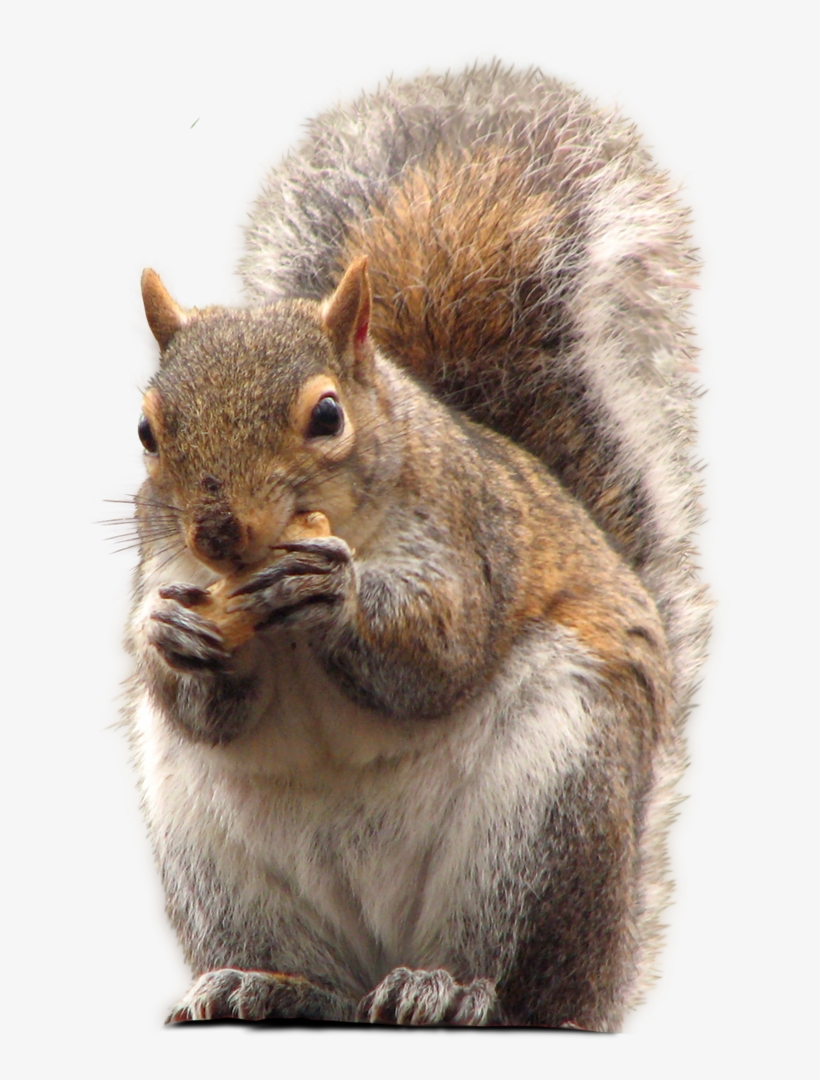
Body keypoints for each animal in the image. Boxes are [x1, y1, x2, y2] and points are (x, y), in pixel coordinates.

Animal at [124, 64, 708, 1031]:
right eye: (145, 431)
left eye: (327, 416)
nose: (216, 532)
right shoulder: (165, 565)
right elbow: (200, 705)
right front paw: (173, 638)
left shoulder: (467, 534)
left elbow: (440, 651)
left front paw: (336, 597)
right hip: (215, 859)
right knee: (319, 982)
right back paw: (263, 985)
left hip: (549, 812)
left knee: (517, 986)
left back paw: (449, 989)